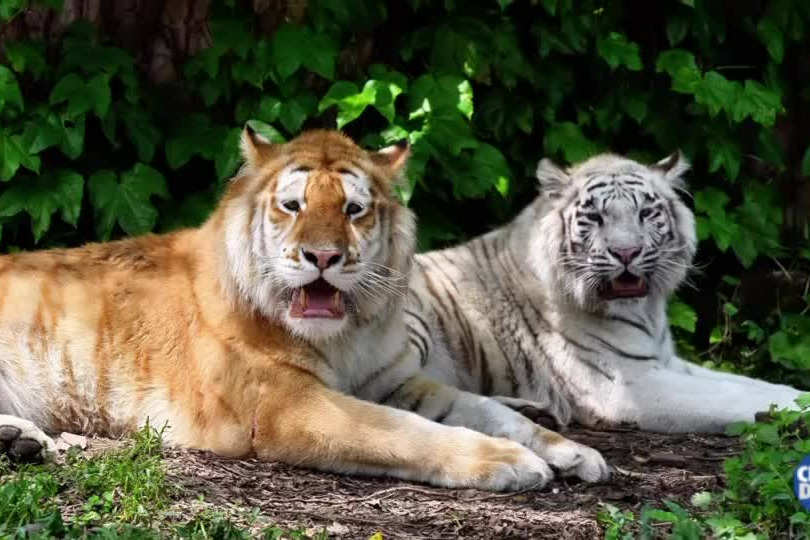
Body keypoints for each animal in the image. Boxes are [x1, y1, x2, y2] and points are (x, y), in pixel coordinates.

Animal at [0, 128, 609, 490]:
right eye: (292, 206)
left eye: (354, 209)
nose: (323, 256)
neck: (349, 333)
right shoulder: (286, 404)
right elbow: (404, 431)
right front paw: (510, 462)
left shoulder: (396, 380)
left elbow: (484, 408)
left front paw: (573, 452)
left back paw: (21, 441)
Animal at [407, 151, 804, 434]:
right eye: (595, 218)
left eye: (646, 213)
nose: (626, 253)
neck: (646, 310)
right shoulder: (630, 384)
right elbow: (733, 395)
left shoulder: (667, 361)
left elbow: (751, 383)